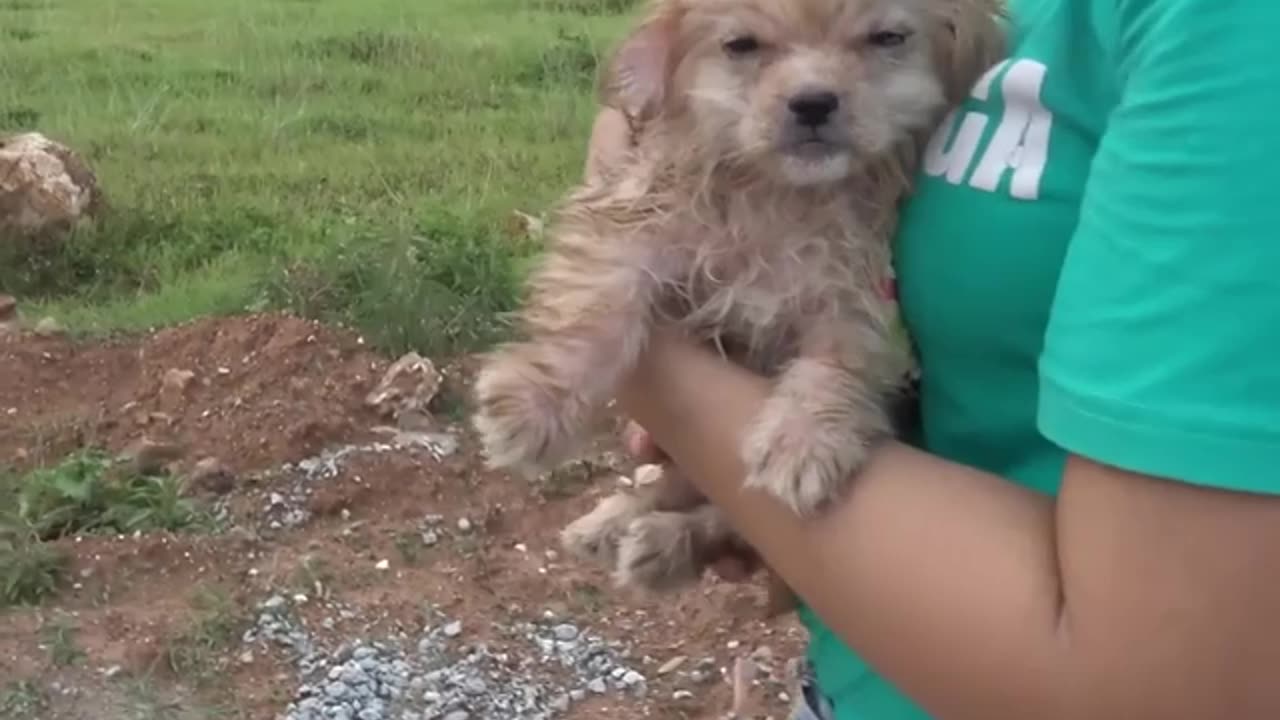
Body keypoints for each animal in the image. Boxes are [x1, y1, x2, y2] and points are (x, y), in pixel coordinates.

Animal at [476, 0, 1003, 607]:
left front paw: (803, 438)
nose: (813, 101)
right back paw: (609, 524)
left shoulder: (865, 292)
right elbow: (597, 304)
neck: (780, 198)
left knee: (721, 516)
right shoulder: (636, 223)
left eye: (887, 37)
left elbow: (841, 356)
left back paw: (662, 543)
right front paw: (531, 405)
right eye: (742, 45)